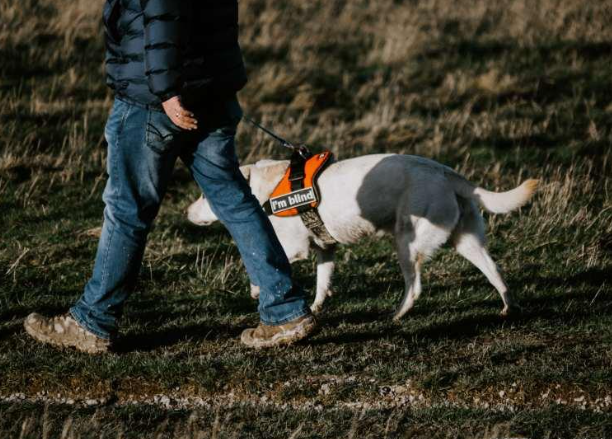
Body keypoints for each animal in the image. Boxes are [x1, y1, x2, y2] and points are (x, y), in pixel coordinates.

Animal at [186, 154, 536, 320]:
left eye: (204, 195)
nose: (186, 212)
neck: (263, 189)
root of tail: (449, 174)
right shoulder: (325, 250)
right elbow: (322, 283)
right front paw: (315, 308)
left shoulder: (292, 247)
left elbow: (259, 264)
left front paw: (258, 289)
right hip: (467, 241)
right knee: (496, 273)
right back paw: (509, 307)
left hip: (407, 243)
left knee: (415, 286)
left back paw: (397, 314)